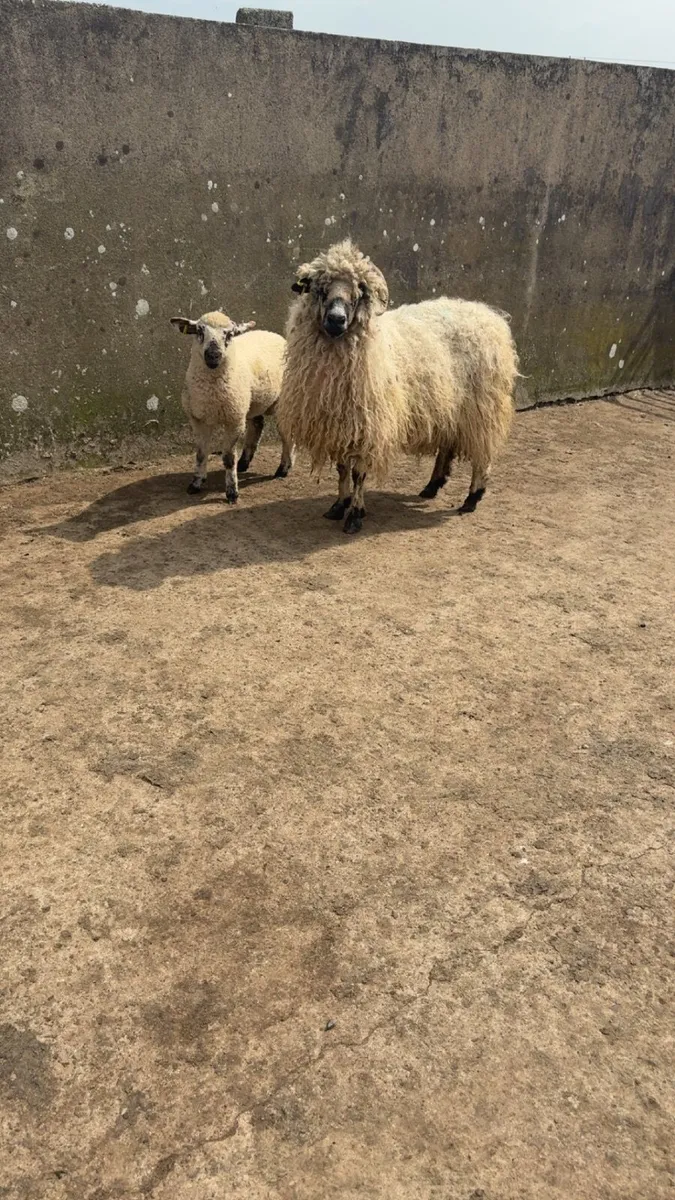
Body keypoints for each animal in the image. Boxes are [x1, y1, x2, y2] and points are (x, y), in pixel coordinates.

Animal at [170, 310, 294, 502]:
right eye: (199, 331)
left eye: (229, 334)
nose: (213, 355)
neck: (212, 392)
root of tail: (274, 334)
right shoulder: (198, 419)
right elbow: (201, 453)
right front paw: (196, 483)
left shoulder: (234, 421)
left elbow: (228, 458)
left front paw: (232, 492)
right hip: (250, 402)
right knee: (257, 424)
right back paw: (243, 463)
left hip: (282, 401)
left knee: (287, 435)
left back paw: (283, 469)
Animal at [276, 239, 519, 533]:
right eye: (320, 288)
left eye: (360, 291)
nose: (336, 319)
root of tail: (490, 315)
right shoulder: (341, 425)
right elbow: (342, 469)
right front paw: (338, 505)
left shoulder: (368, 426)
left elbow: (358, 473)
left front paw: (355, 515)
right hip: (451, 407)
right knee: (447, 448)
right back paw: (432, 486)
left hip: (483, 408)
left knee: (483, 453)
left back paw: (472, 497)